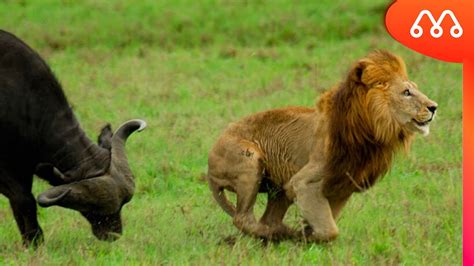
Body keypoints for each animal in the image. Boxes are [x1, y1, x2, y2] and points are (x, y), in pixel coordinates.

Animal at [207, 50, 436, 243]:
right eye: (406, 92)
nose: (434, 107)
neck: (372, 135)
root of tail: (209, 163)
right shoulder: (303, 182)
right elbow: (330, 229)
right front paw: (306, 236)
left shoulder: (343, 187)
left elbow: (328, 220)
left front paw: (307, 233)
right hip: (250, 160)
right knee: (242, 218)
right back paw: (280, 234)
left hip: (279, 187)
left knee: (266, 219)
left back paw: (280, 233)